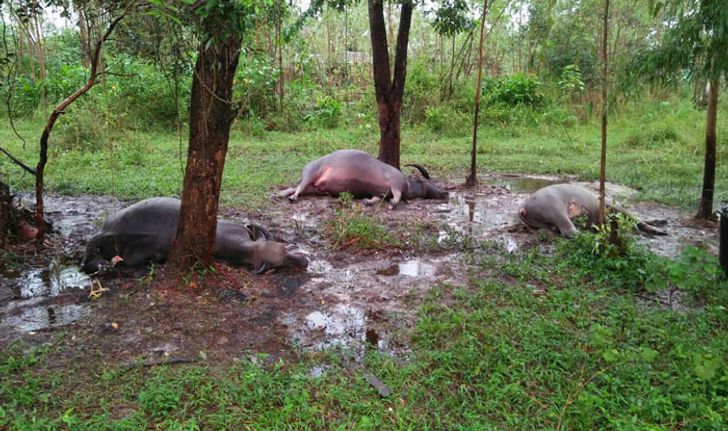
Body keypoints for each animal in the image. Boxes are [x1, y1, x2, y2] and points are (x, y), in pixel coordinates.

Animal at [278, 149, 450, 208]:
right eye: (425, 181)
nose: (445, 192)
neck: (407, 183)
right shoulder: (395, 184)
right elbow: (397, 196)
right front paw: (394, 203)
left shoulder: (379, 192)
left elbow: (377, 198)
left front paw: (367, 202)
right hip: (310, 173)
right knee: (299, 187)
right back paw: (291, 198)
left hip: (314, 189)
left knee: (296, 187)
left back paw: (281, 194)